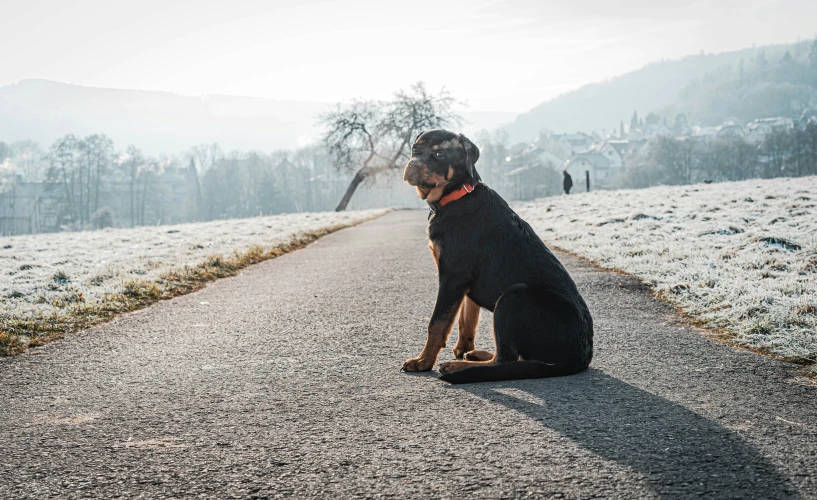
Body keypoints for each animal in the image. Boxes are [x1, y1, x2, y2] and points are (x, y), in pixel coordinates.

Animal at [398, 128, 588, 382]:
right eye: (415, 149)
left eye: (439, 154)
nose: (412, 165)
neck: (457, 196)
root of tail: (583, 354)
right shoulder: (465, 284)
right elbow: (466, 320)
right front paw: (463, 348)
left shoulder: (452, 277)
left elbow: (437, 323)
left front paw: (423, 361)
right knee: (510, 356)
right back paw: (475, 356)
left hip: (513, 297)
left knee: (504, 360)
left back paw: (458, 367)